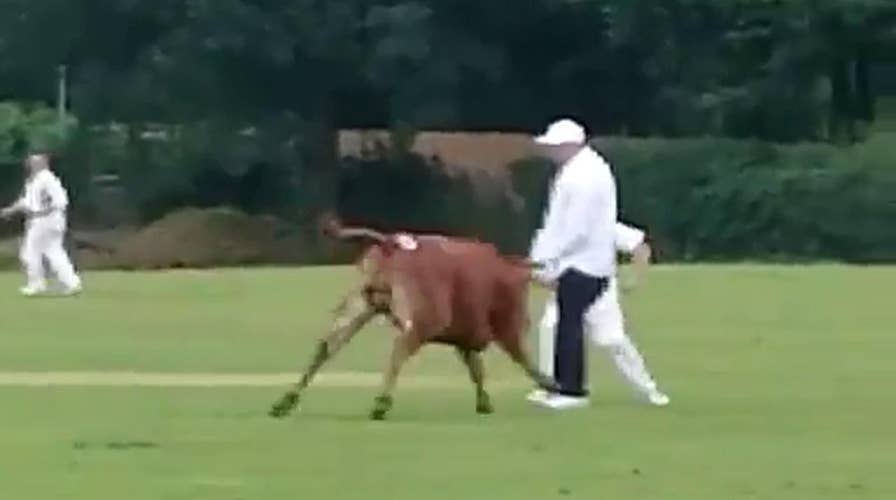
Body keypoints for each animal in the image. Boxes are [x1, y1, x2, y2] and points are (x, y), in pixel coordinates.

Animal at [269, 215, 559, 420]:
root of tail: (390, 242)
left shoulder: (465, 337)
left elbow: (476, 369)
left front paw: (485, 402)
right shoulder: (505, 327)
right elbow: (522, 359)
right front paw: (550, 384)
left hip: (359, 307)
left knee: (327, 346)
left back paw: (285, 401)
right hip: (423, 320)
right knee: (400, 348)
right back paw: (381, 403)